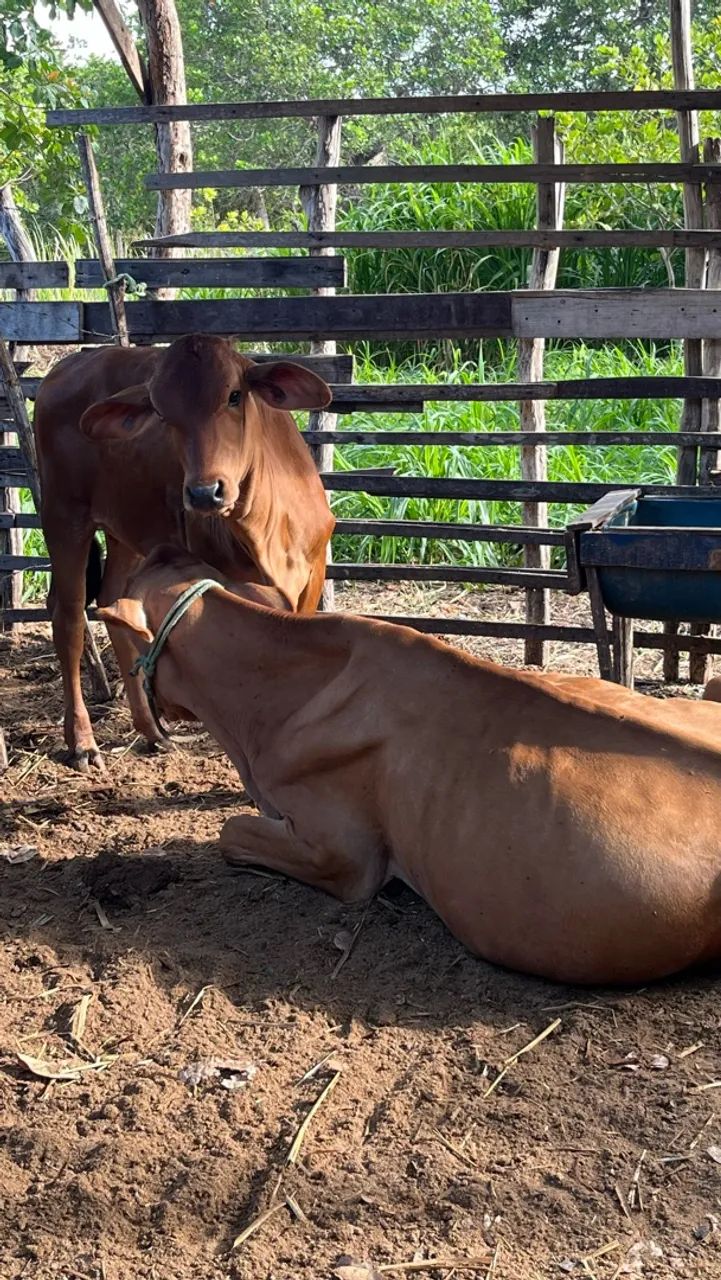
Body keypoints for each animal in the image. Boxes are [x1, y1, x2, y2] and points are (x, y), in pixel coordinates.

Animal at [34, 335, 335, 771]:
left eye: (235, 395)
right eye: (161, 413)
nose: (204, 493)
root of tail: (66, 367)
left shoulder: (312, 575)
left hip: (126, 531)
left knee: (110, 603)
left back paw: (151, 731)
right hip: (63, 514)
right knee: (69, 619)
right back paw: (83, 743)